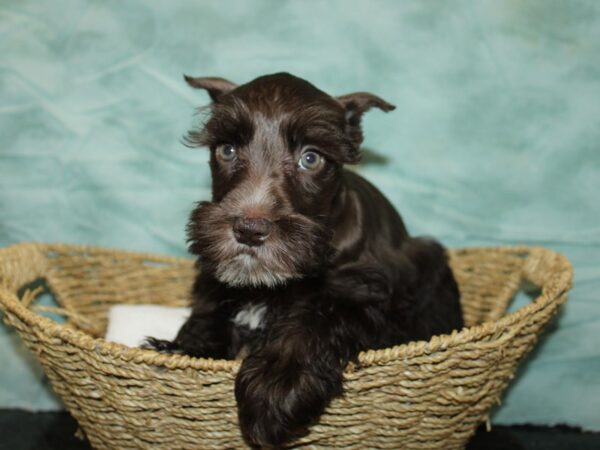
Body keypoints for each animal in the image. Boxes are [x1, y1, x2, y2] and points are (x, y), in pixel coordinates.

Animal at [145, 72, 464, 448]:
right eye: (227, 150)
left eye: (311, 158)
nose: (249, 230)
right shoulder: (215, 281)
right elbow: (208, 313)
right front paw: (181, 348)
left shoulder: (363, 291)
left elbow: (315, 320)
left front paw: (275, 387)